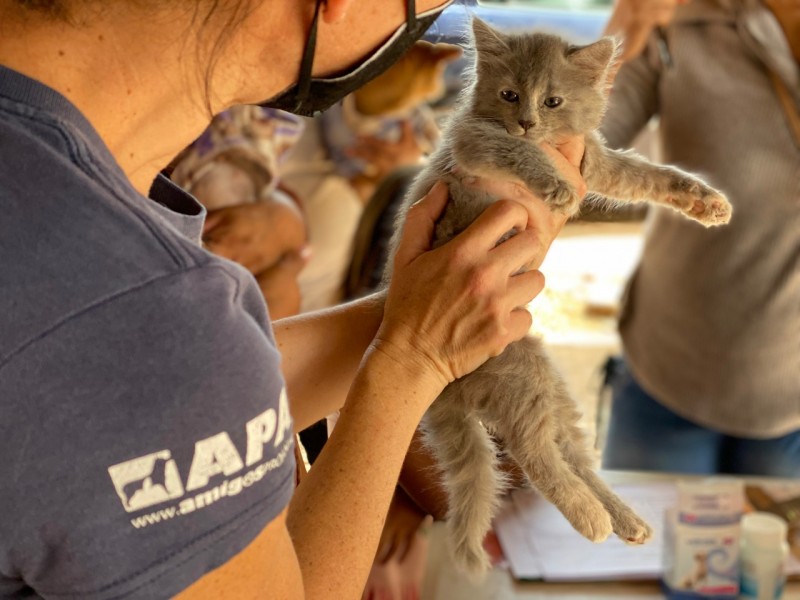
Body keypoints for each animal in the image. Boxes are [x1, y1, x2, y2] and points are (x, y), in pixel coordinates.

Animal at [387, 18, 732, 577]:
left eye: (552, 101)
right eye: (509, 95)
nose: (526, 122)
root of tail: (446, 392)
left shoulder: (596, 160)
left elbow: (651, 174)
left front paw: (706, 201)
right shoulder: (473, 142)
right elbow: (516, 152)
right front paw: (554, 187)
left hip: (552, 388)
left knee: (568, 455)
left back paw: (622, 519)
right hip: (520, 374)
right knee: (533, 453)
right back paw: (592, 520)